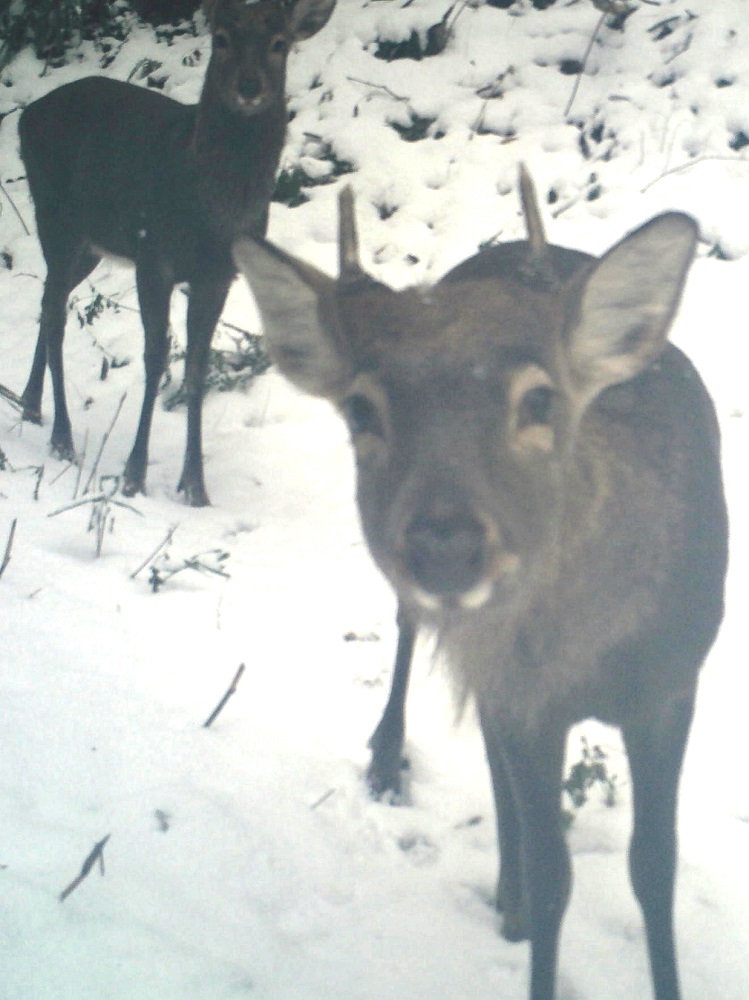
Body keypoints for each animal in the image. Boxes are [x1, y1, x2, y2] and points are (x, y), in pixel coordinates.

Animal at [17, 0, 336, 504]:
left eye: (279, 43)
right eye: (221, 38)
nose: (249, 85)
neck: (212, 212)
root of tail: (24, 116)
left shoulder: (219, 275)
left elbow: (197, 370)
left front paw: (195, 486)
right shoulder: (154, 256)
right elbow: (156, 359)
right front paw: (134, 475)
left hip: (91, 243)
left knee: (51, 300)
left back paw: (30, 405)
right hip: (55, 216)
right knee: (55, 311)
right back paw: (62, 437)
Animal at [232, 168, 724, 996]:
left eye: (540, 398)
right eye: (361, 408)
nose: (446, 545)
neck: (588, 658)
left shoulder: (671, 683)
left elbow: (652, 870)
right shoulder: (522, 697)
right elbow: (554, 872)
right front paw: (531, 910)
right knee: (410, 638)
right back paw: (396, 771)